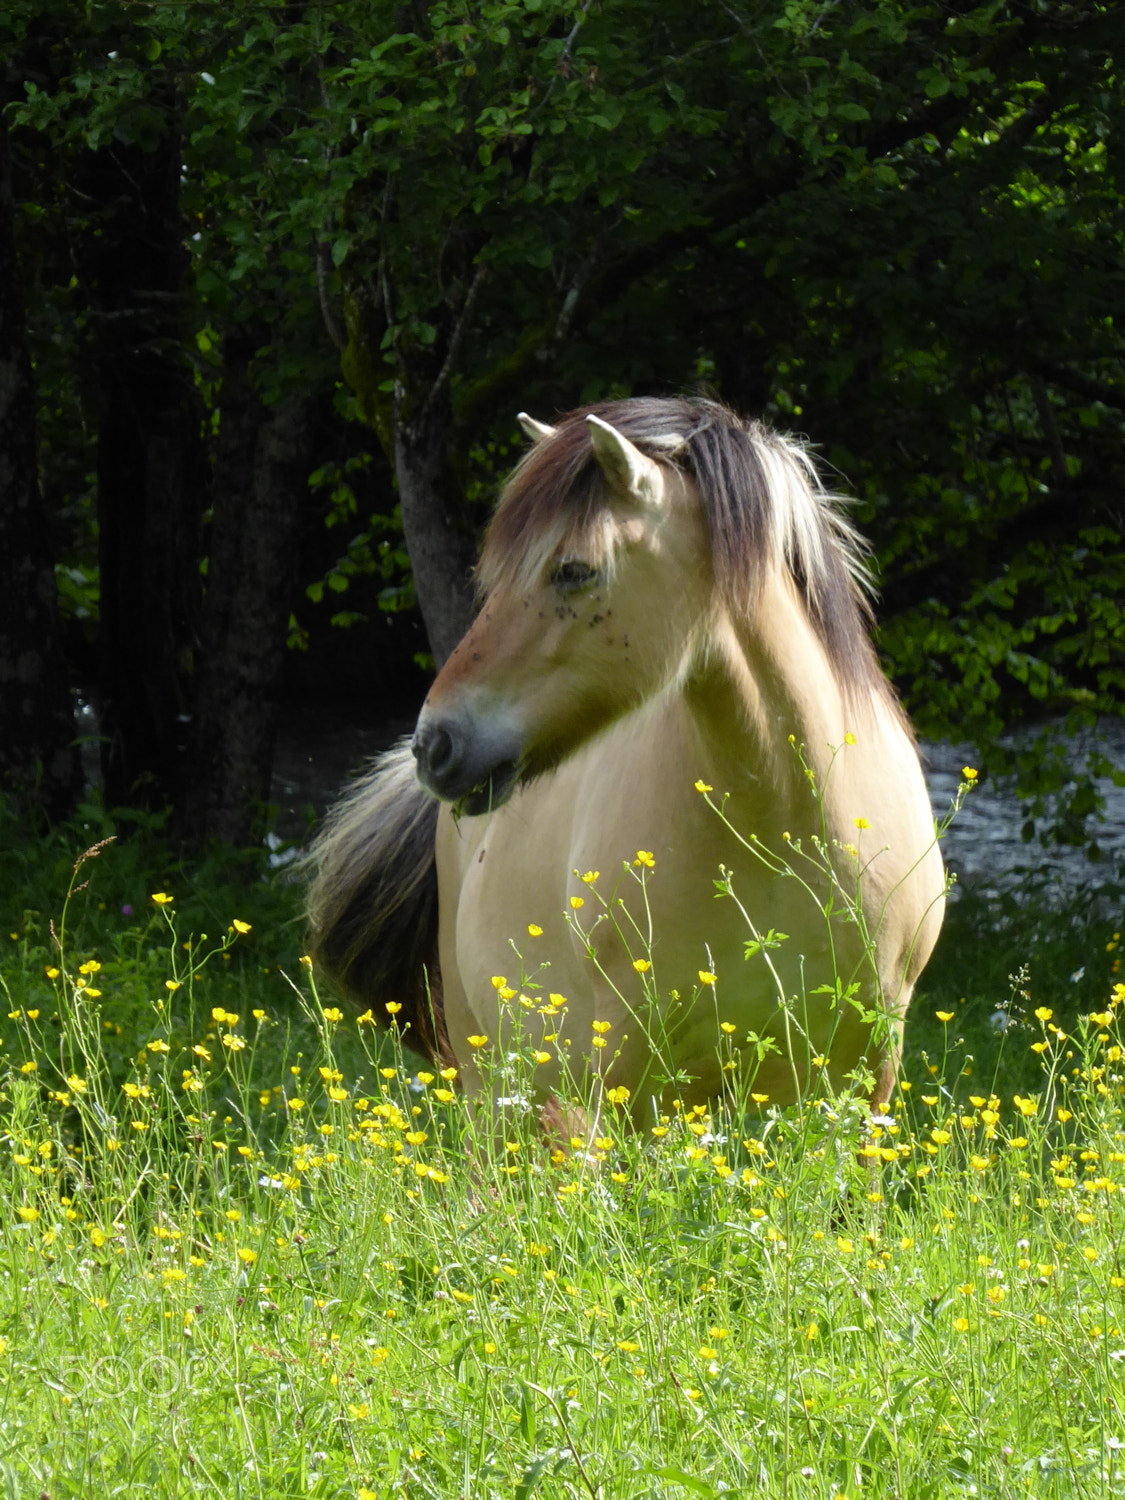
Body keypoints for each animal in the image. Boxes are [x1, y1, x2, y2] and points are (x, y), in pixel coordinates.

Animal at [304, 393, 948, 1128]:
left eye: (574, 570)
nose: (433, 744)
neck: (785, 825)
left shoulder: (870, 1073)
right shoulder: (624, 1073)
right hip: (495, 1085)